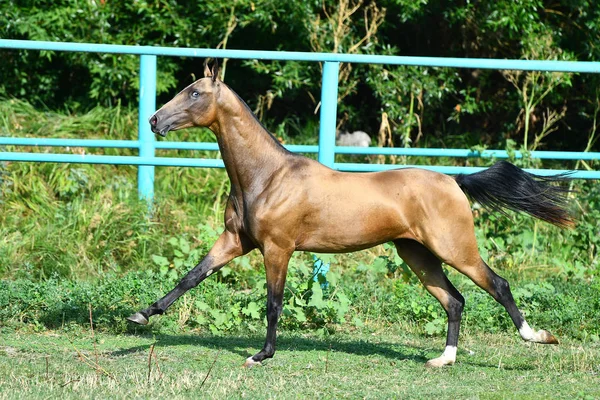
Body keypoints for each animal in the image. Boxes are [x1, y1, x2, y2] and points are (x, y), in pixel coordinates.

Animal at [129, 60, 576, 368]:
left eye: (194, 94)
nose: (154, 119)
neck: (266, 177)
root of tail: (454, 181)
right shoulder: (235, 242)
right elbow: (190, 277)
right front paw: (141, 316)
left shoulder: (277, 248)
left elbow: (273, 302)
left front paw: (261, 354)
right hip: (417, 254)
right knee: (454, 300)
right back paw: (442, 360)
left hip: (454, 248)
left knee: (497, 285)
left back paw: (538, 337)